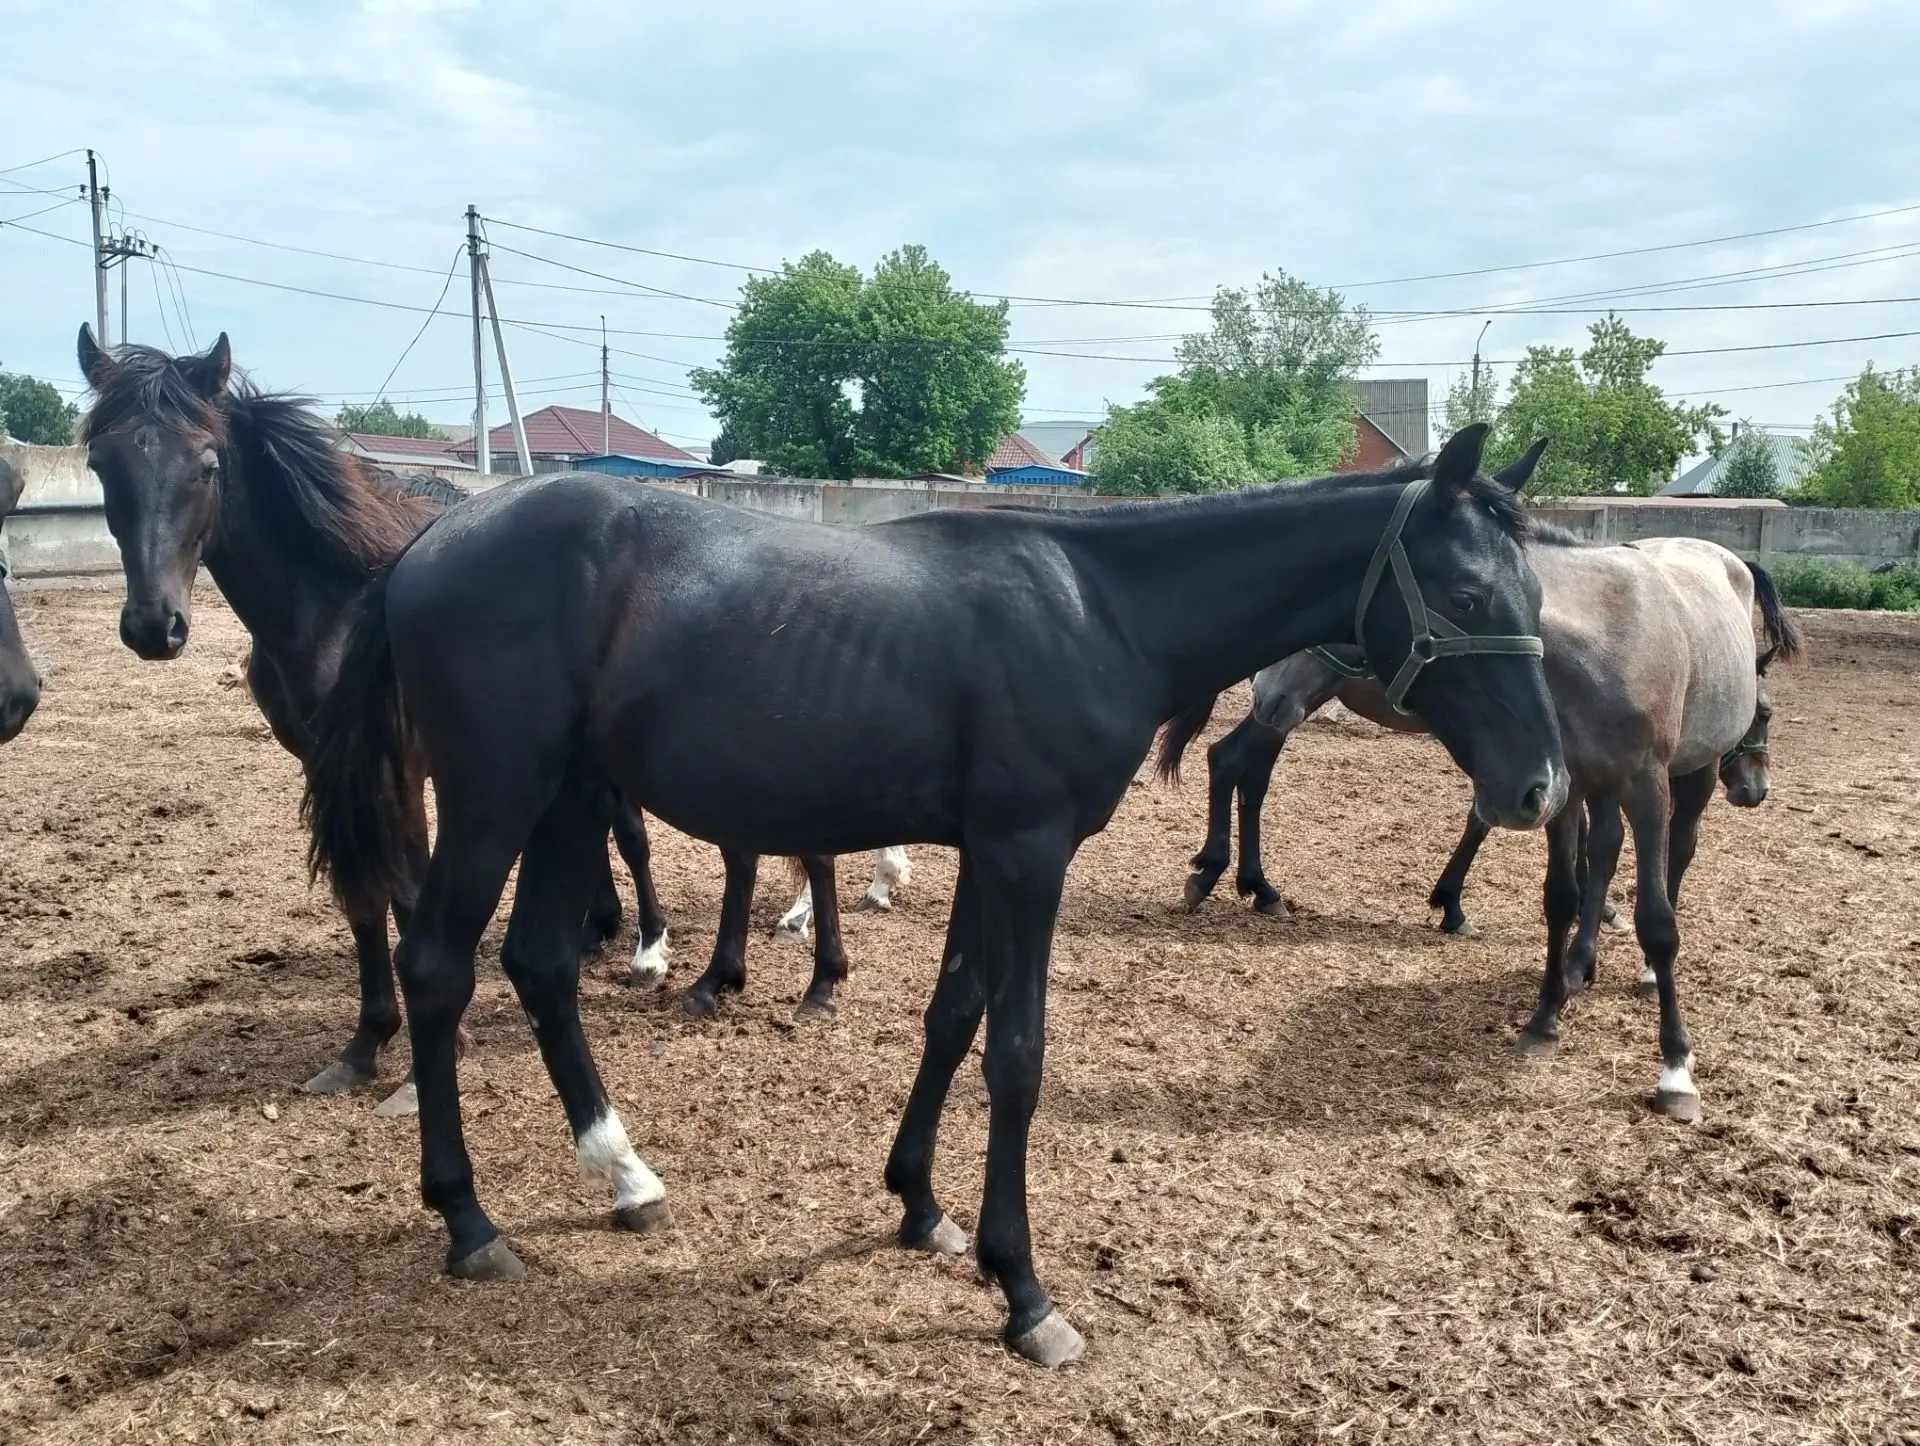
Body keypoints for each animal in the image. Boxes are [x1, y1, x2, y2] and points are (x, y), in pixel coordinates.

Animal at [73, 329, 890, 1105]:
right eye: (101, 466)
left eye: (207, 466)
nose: (154, 627)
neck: (335, 602)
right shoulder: (331, 767)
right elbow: (363, 897)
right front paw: (364, 1045)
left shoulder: (399, 770)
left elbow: (408, 890)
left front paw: (435, 1050)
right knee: (738, 850)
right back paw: (707, 969)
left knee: (781, 851)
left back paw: (803, 976)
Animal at [302, 423, 1566, 1365]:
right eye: (1463, 590)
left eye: (1531, 587)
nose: (1540, 787)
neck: (1100, 613)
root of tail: (430, 541)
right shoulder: (1029, 854)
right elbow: (1018, 1053)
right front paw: (1027, 1293)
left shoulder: (988, 853)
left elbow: (954, 1017)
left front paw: (920, 1206)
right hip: (496, 799)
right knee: (440, 970)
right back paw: (469, 1222)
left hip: (568, 798)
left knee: (541, 967)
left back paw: (625, 1177)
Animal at [1162, 525, 1798, 1124]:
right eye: (1767, 713)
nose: (1754, 790)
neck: (1605, 643)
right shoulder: (1557, 776)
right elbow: (1566, 888)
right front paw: (1555, 1003)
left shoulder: (1606, 780)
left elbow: (1635, 901)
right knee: (1236, 764)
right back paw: (1235, 879)